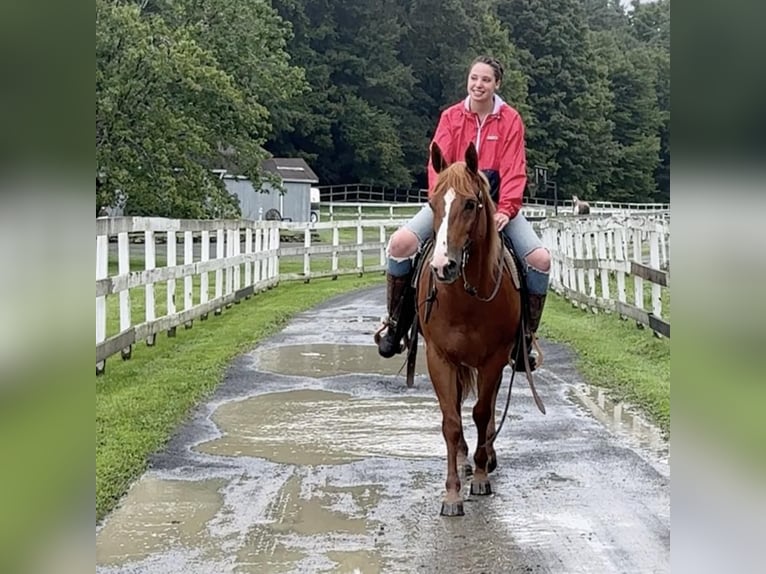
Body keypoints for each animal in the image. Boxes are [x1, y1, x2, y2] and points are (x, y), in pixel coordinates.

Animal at [416, 143, 532, 516]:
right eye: (432, 203)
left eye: (470, 204)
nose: (443, 266)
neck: (466, 299)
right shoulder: (439, 358)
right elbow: (451, 422)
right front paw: (452, 493)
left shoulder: (493, 359)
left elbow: (481, 412)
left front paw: (481, 477)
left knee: (490, 405)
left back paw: (485, 457)